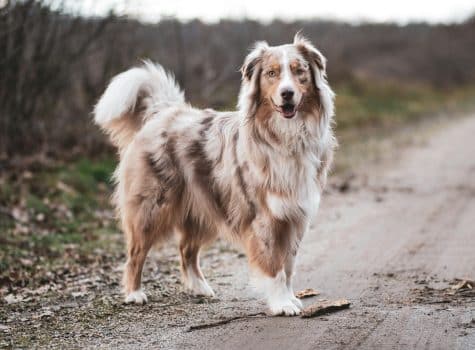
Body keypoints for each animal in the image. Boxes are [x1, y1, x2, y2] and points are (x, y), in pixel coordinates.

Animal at [95, 33, 336, 318]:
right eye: (272, 73)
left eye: (300, 72)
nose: (287, 94)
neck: (286, 136)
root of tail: (163, 112)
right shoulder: (265, 218)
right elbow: (275, 266)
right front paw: (281, 304)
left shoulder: (293, 216)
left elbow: (288, 266)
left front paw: (290, 298)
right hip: (151, 208)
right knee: (136, 252)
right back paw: (134, 293)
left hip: (205, 206)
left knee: (186, 250)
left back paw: (200, 288)